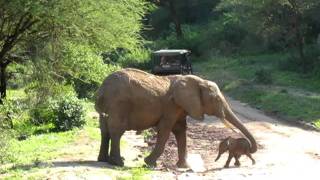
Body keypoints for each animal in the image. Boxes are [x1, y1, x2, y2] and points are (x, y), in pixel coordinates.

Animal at [95, 68, 258, 167]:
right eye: (216, 99)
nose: (248, 146)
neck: (197, 81)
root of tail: (102, 89)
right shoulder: (171, 106)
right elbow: (165, 130)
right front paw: (149, 163)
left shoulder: (180, 107)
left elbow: (180, 131)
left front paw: (183, 166)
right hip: (119, 104)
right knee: (117, 130)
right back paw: (118, 163)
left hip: (111, 105)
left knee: (105, 130)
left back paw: (104, 160)